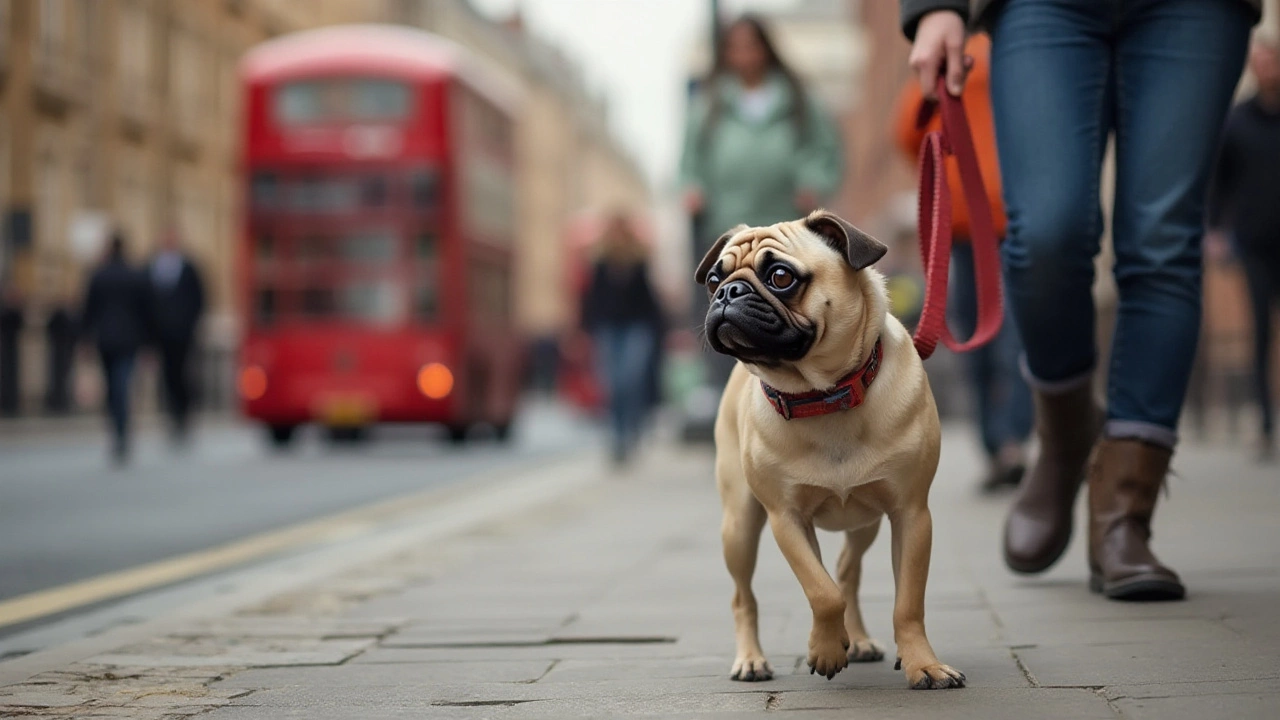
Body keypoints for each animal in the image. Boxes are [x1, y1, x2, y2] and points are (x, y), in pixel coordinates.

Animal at [701, 210, 962, 686]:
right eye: (713, 280)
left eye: (781, 276)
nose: (729, 292)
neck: (823, 395)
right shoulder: (786, 518)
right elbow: (821, 592)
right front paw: (824, 649)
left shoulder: (912, 515)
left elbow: (907, 603)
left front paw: (923, 664)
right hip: (740, 525)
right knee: (745, 596)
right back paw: (751, 660)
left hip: (866, 523)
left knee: (847, 570)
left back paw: (856, 640)